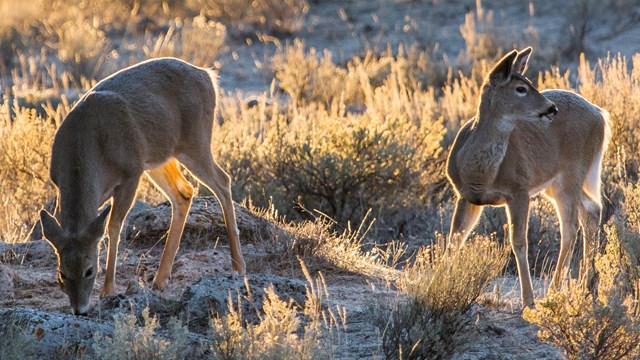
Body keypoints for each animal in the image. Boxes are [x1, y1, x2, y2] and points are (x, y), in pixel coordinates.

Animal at [39, 57, 245, 316]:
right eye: (62, 273)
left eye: (89, 270)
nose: (80, 310)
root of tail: (207, 75)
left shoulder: (130, 174)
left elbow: (114, 226)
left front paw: (108, 289)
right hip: (160, 157)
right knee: (184, 192)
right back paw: (160, 279)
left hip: (195, 142)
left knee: (222, 182)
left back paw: (238, 266)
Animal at [444, 47, 608, 306]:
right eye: (521, 88)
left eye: (530, 82)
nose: (551, 109)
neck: (479, 173)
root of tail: (600, 114)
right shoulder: (465, 196)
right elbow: (455, 239)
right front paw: (437, 280)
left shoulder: (519, 190)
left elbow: (519, 242)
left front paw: (528, 300)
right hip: (557, 182)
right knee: (592, 210)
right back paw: (588, 287)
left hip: (572, 172)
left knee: (570, 227)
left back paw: (554, 291)